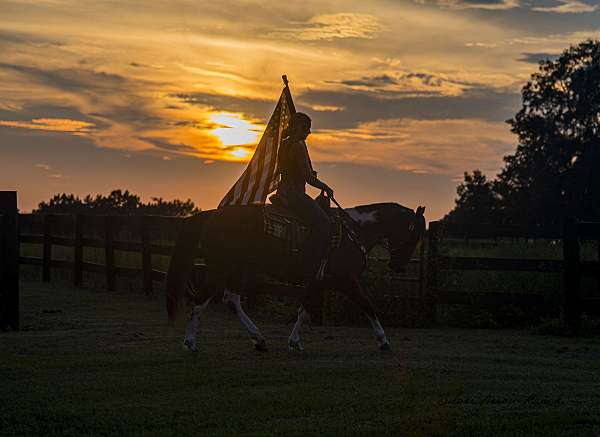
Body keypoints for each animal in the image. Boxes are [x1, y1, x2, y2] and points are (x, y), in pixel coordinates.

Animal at [166, 201, 424, 350]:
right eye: (414, 235)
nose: (398, 266)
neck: (355, 231)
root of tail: (212, 215)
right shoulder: (346, 279)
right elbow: (367, 304)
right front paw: (383, 340)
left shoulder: (318, 281)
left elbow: (304, 309)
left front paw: (294, 341)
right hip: (221, 268)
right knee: (201, 299)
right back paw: (190, 342)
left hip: (239, 269)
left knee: (231, 299)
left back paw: (259, 339)